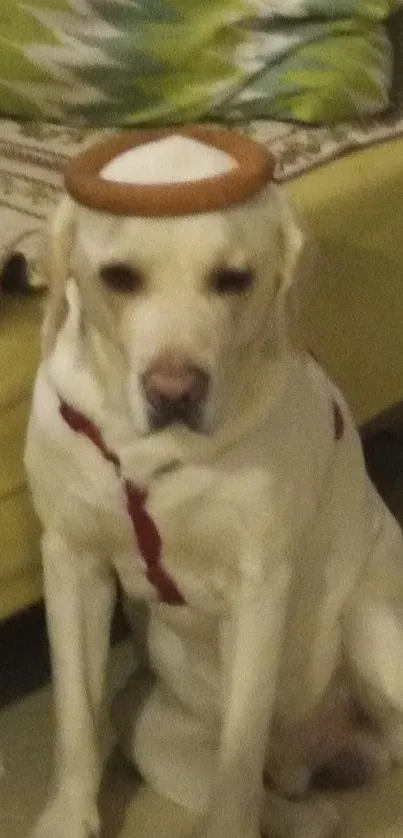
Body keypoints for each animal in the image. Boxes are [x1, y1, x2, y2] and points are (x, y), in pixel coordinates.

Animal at [24, 141, 403, 838]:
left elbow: (240, 748)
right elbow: (74, 716)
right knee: (304, 812)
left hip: (373, 628)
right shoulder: (70, 560)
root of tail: (316, 751)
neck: (149, 454)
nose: (174, 390)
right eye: (119, 277)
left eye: (234, 279)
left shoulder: (256, 584)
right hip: (153, 736)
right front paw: (68, 817)